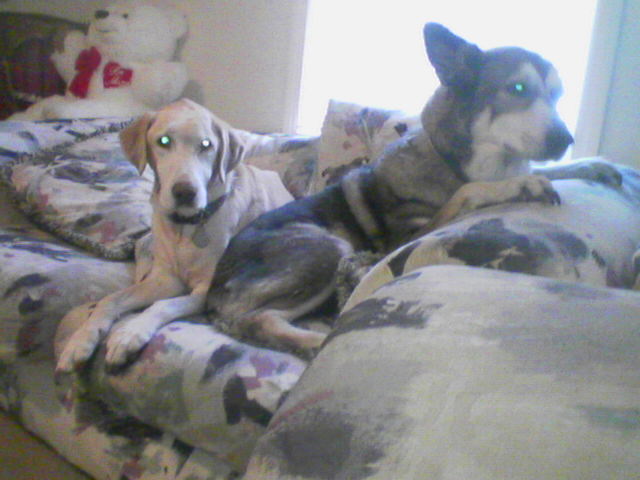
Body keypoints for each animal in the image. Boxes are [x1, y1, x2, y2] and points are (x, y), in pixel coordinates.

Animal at [56, 99, 293, 371]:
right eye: (164, 141)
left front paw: (129, 334)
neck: (186, 228)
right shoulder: (165, 279)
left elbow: (164, 305)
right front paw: (79, 341)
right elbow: (110, 300)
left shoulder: (205, 290)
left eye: (206, 145)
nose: (185, 192)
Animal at [204, 23, 621, 354]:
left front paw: (593, 165)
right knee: (250, 318)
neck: (453, 161)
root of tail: (211, 292)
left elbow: (552, 170)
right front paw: (520, 184)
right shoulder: (408, 235)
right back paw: (316, 342)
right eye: (517, 88)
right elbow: (470, 191)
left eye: (558, 95)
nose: (565, 139)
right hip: (328, 247)